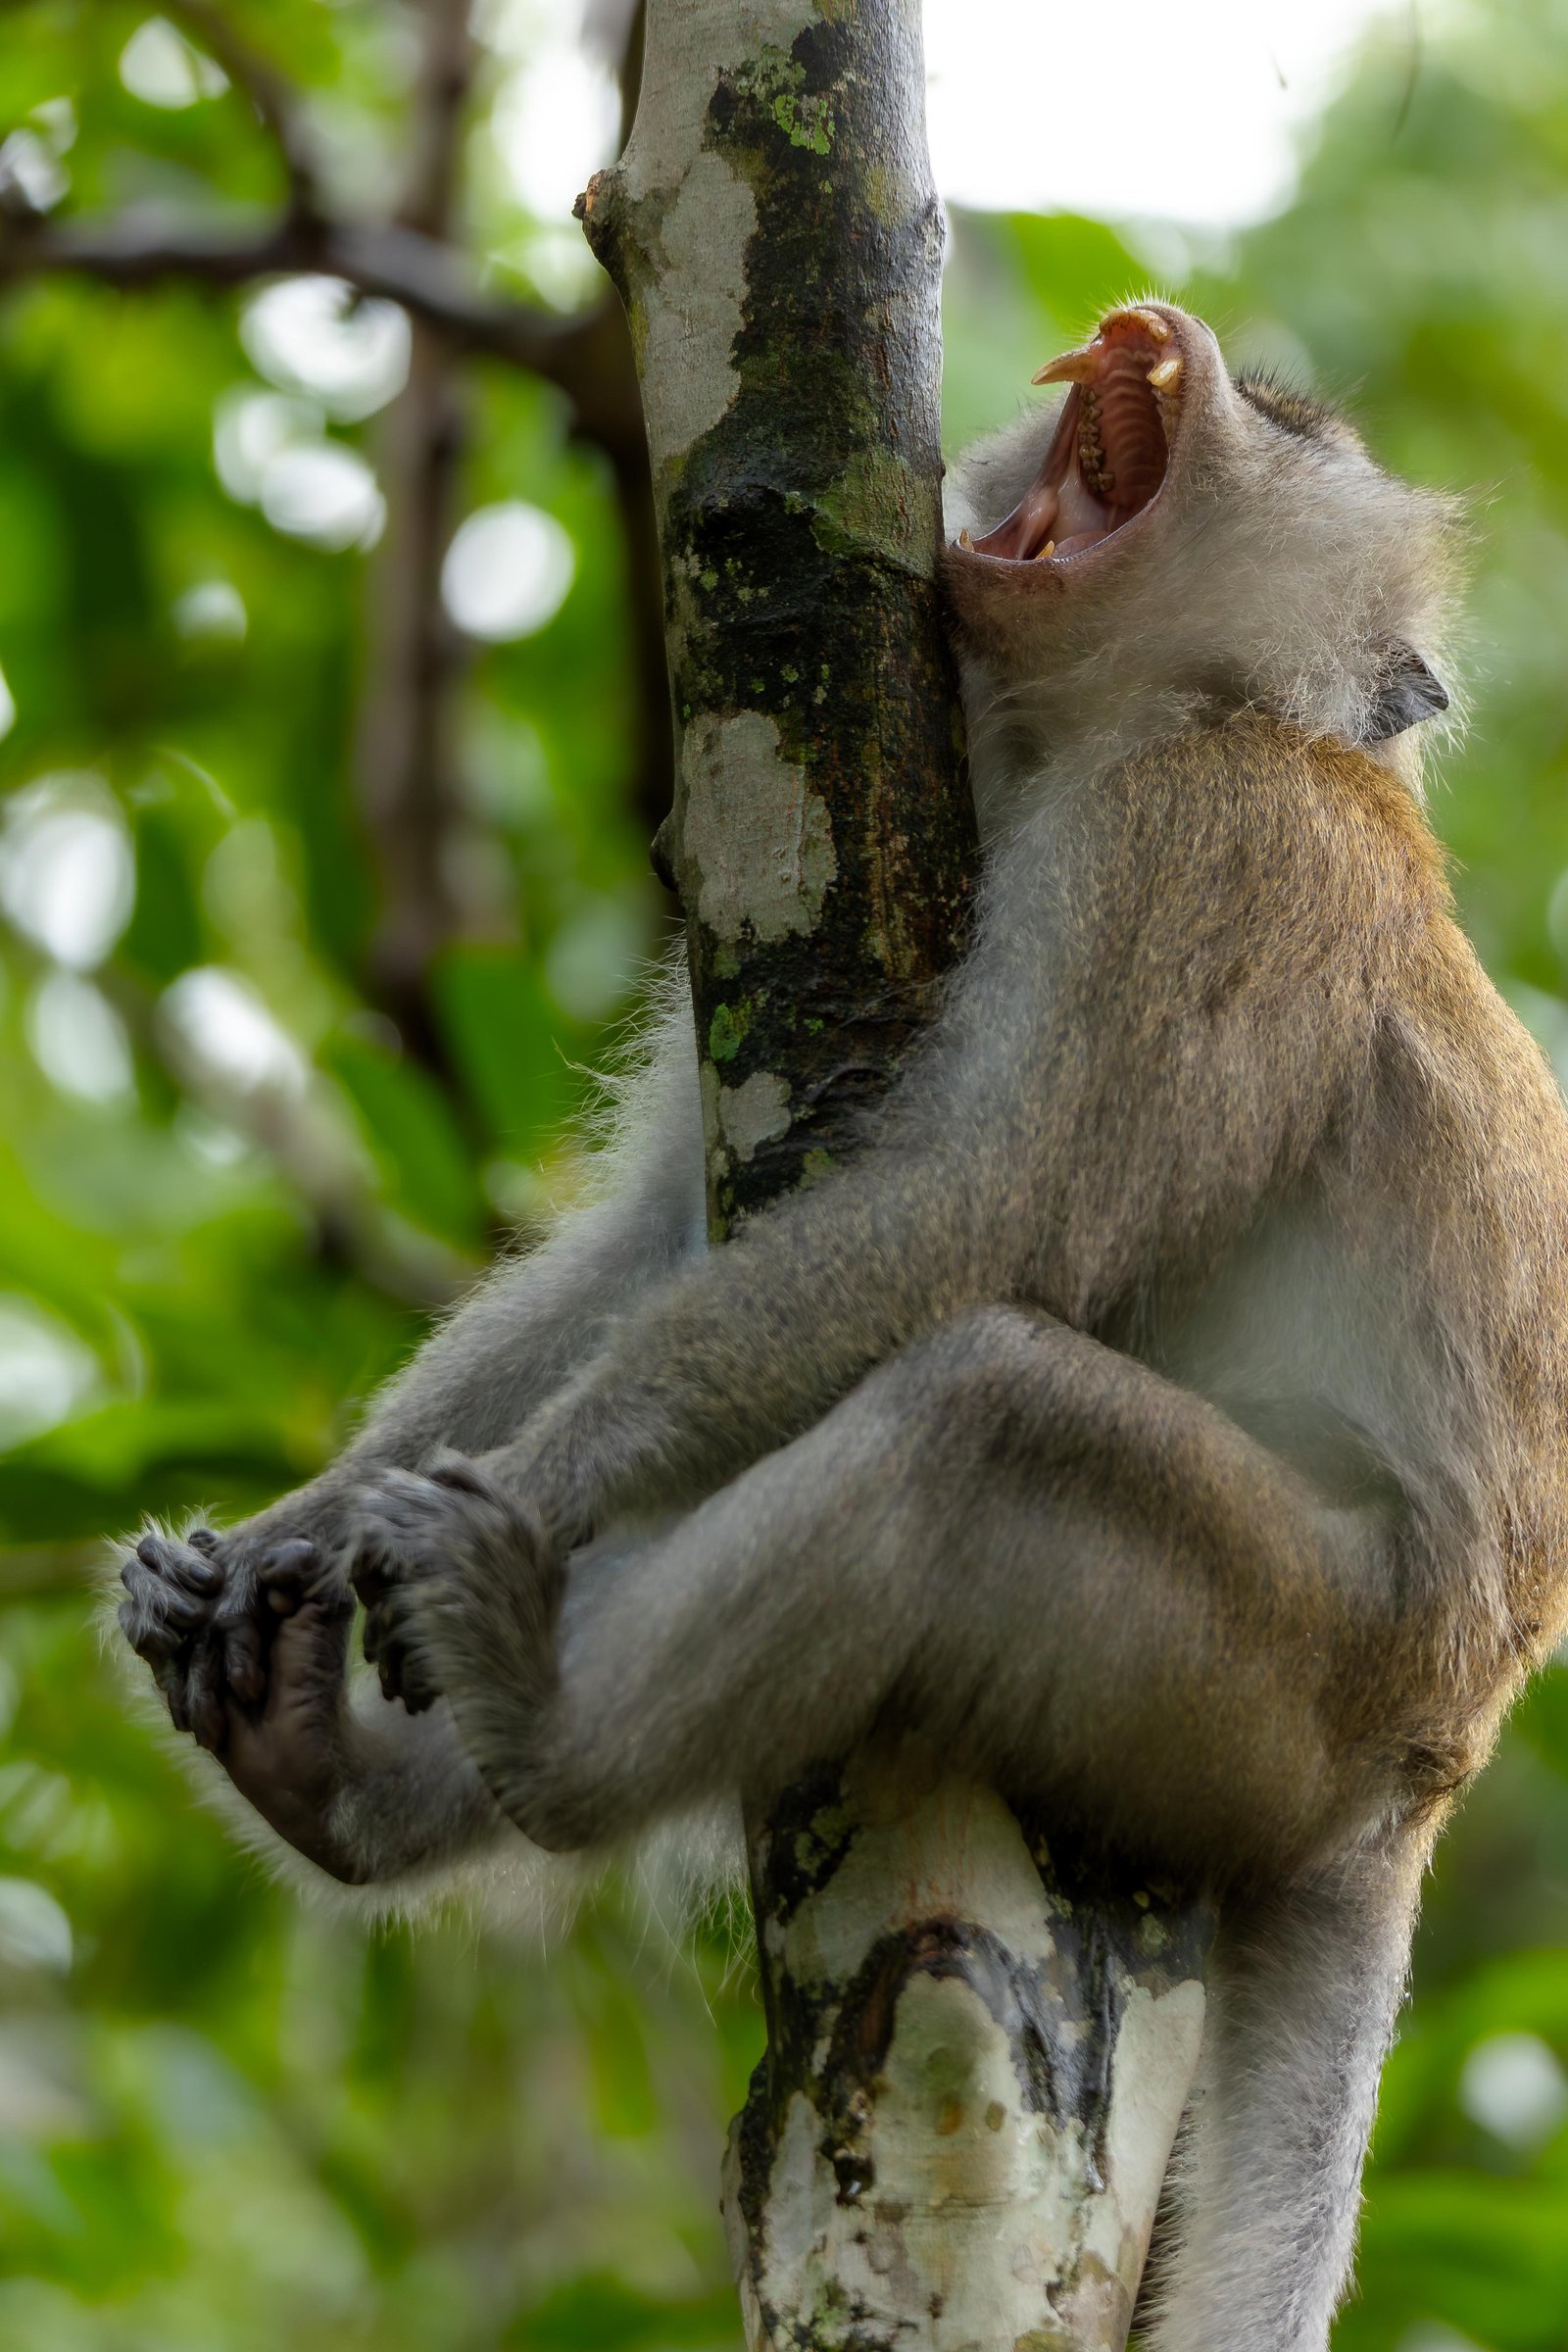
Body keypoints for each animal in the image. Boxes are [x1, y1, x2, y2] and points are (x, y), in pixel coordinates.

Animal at [116, 301, 1568, 2352]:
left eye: (1283, 418)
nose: (1165, 331)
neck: (1147, 717)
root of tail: (1426, 1782)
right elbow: (654, 1239)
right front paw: (288, 1537)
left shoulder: (1216, 838)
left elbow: (987, 1216)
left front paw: (519, 1492)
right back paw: (341, 1791)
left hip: (1295, 1674)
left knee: (978, 1419)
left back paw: (542, 1730)